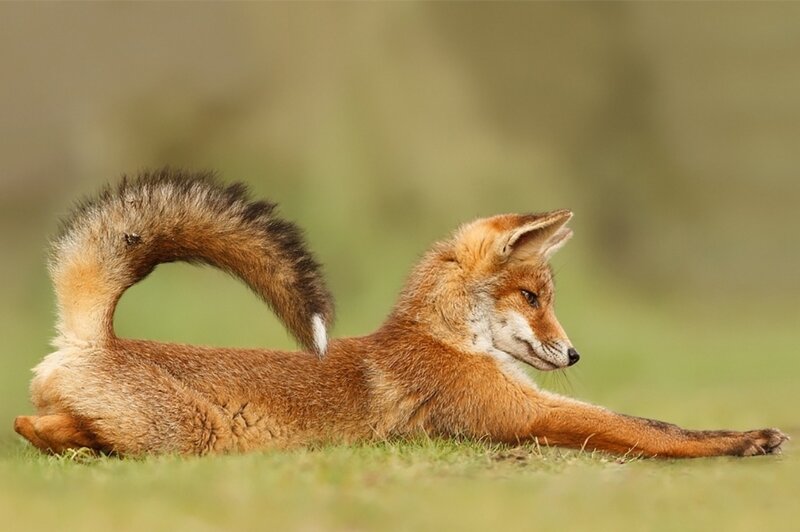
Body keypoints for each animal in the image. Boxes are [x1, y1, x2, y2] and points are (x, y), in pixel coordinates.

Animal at [14, 168, 788, 458]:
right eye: (532, 297)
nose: (573, 355)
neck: (446, 343)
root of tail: (97, 339)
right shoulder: (524, 414)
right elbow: (651, 429)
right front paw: (743, 441)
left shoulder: (525, 404)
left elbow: (651, 420)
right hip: (186, 437)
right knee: (36, 427)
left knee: (34, 423)